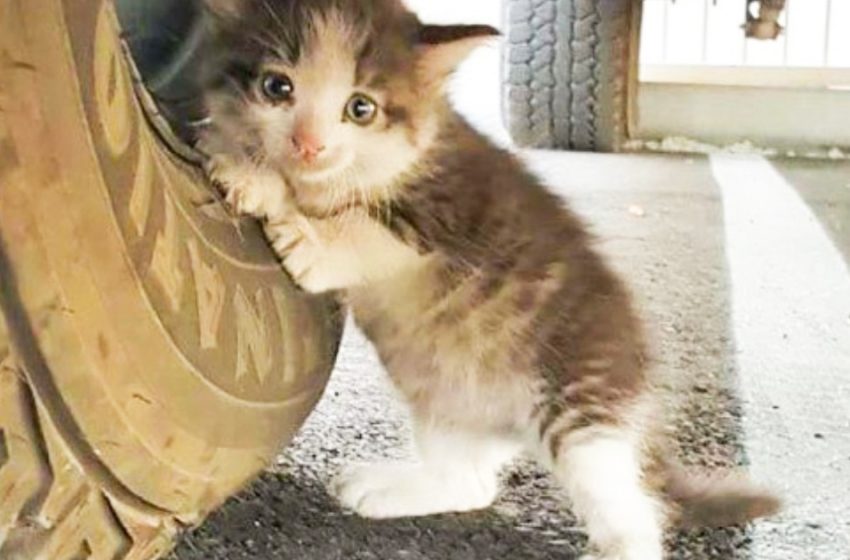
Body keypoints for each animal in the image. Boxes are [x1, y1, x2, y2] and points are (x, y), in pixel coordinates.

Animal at [195, 2, 780, 556]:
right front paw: (248, 167)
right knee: (472, 484)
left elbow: (362, 225)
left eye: (360, 107)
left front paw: (296, 220)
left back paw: (622, 545)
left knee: (634, 508)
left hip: (581, 405)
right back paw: (390, 489)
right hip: (448, 402)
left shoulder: (452, 212)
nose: (309, 144)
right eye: (278, 87)